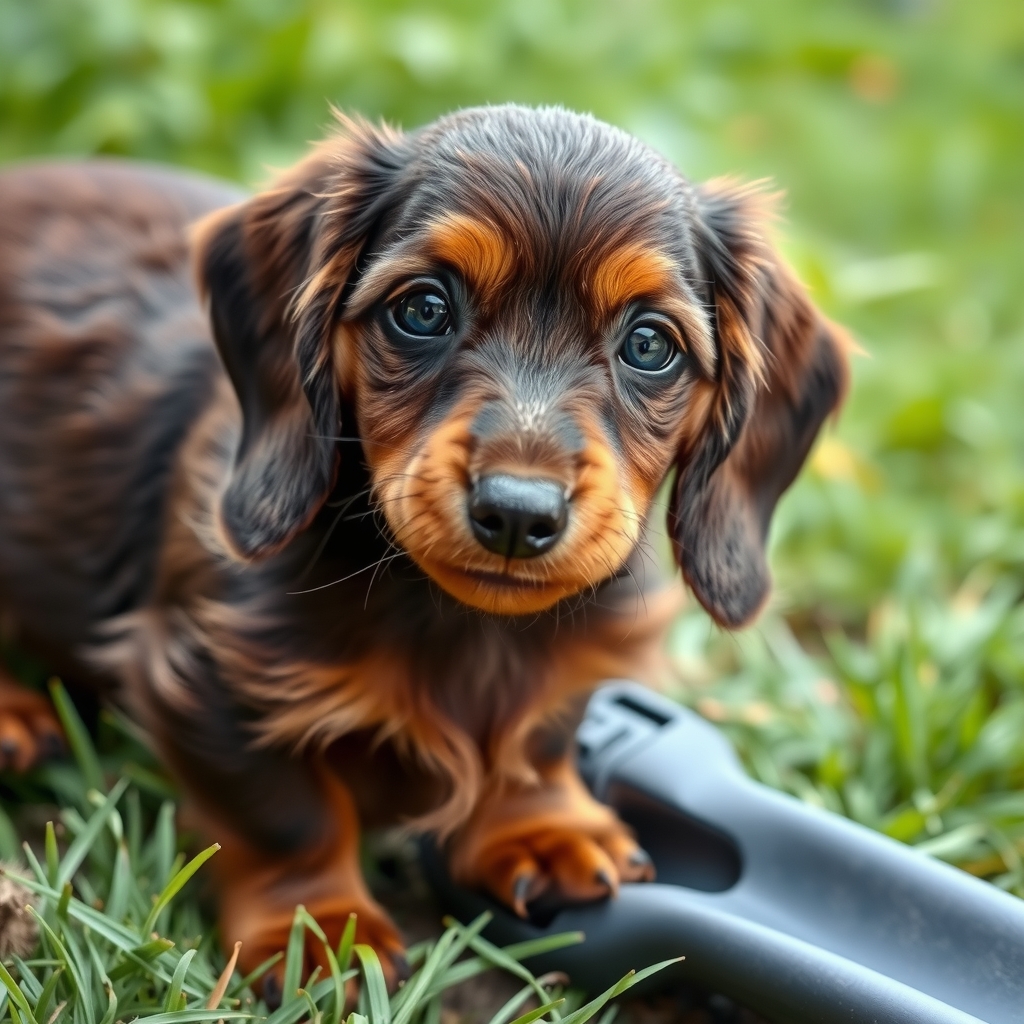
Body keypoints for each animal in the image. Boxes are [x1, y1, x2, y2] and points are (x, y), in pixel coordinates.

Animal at [0, 108, 847, 987]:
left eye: (650, 344)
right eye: (424, 309)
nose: (516, 513)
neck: (462, 622)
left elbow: (540, 736)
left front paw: (537, 827)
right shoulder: (204, 675)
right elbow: (289, 814)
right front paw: (318, 930)